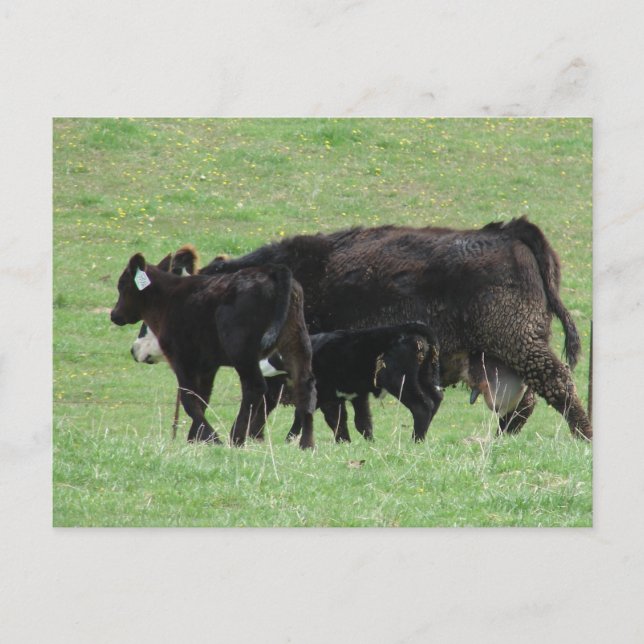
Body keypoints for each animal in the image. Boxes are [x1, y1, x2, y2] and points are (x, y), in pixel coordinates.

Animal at [110, 248, 317, 448]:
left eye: (122, 285)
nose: (114, 315)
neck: (167, 299)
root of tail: (272, 270)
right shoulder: (207, 365)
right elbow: (202, 398)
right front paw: (195, 439)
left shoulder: (182, 359)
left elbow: (189, 399)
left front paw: (212, 438)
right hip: (296, 341)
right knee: (305, 385)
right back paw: (307, 444)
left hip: (242, 350)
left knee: (255, 387)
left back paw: (237, 438)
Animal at [251, 322, 443, 443]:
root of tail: (409, 327)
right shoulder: (356, 396)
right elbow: (360, 421)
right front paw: (364, 443)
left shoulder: (325, 395)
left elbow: (318, 417)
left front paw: (289, 440)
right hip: (425, 377)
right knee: (436, 399)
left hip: (398, 380)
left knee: (422, 406)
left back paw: (416, 440)